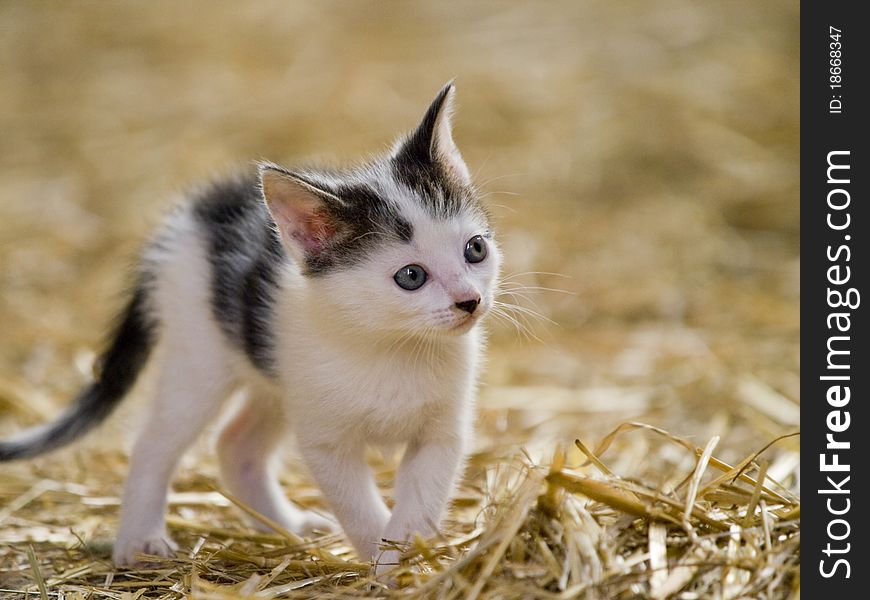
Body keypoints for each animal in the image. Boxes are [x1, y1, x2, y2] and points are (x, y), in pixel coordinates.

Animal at [0, 82, 504, 568]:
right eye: (411, 276)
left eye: (475, 249)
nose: (469, 300)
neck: (392, 344)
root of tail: (191, 214)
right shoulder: (326, 441)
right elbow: (358, 506)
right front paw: (385, 562)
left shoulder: (442, 433)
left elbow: (422, 498)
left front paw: (405, 554)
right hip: (200, 354)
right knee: (154, 443)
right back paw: (138, 543)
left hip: (273, 374)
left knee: (234, 444)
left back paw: (287, 526)